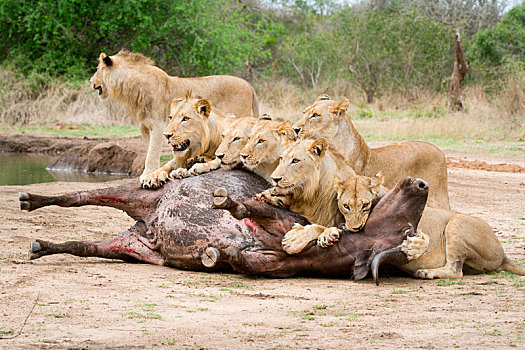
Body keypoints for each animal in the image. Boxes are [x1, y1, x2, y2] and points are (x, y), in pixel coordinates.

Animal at [91, 50, 260, 185]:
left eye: (97, 69)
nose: (91, 81)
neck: (133, 90)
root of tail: (249, 85)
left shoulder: (158, 126)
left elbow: (152, 153)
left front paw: (147, 174)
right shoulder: (145, 127)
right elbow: (149, 151)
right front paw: (152, 174)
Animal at [332, 173, 524, 278]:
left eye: (365, 205)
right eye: (346, 206)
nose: (355, 228)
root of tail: (503, 255)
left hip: (457, 222)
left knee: (456, 270)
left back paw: (426, 272)